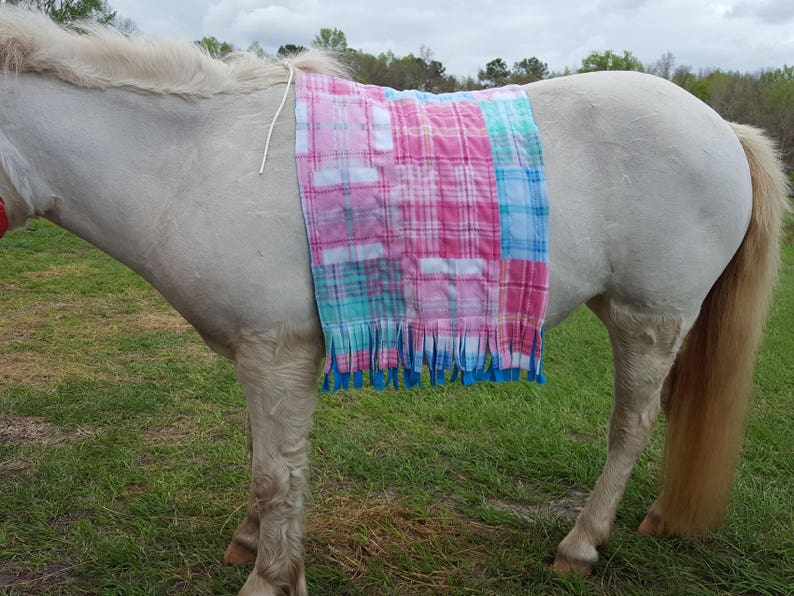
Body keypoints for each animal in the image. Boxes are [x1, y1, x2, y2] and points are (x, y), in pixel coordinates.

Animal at [0, 8, 788, 595]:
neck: (195, 160)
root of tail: (722, 127)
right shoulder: (260, 356)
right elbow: (266, 458)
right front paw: (250, 542)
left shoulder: (277, 351)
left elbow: (279, 472)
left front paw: (271, 576)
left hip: (648, 318)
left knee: (631, 425)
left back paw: (580, 547)